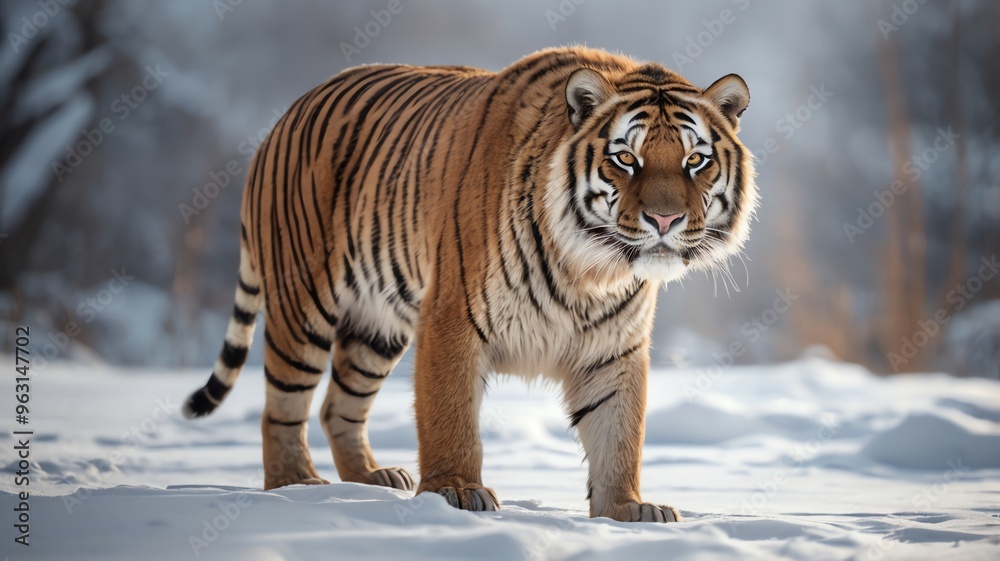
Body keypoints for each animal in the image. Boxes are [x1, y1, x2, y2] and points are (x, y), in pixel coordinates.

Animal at [183, 46, 756, 523]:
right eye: (625, 158)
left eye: (695, 160)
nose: (665, 220)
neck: (593, 270)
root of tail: (285, 115)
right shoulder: (452, 320)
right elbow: (450, 416)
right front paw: (456, 493)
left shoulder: (614, 349)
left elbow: (619, 434)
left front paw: (627, 510)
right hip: (303, 306)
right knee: (282, 407)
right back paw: (296, 486)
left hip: (376, 328)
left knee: (336, 405)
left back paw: (371, 478)